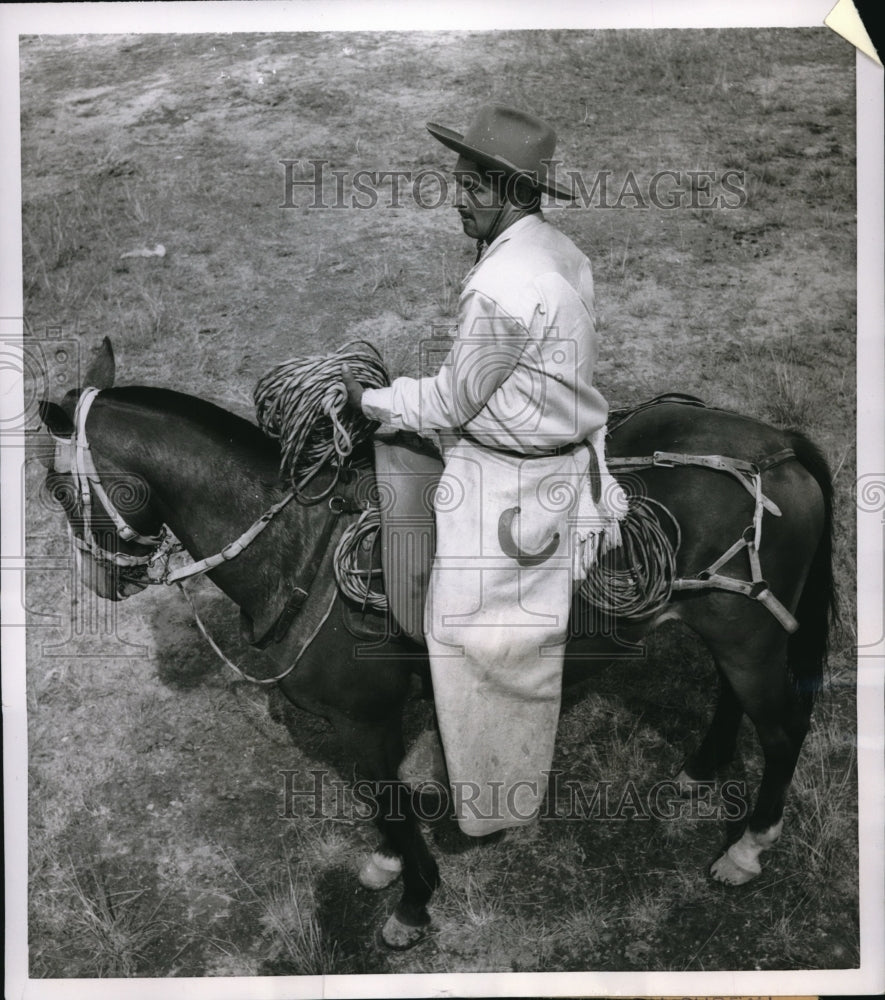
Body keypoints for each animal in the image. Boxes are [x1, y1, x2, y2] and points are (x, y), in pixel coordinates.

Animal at [36, 340, 836, 948]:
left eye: (52, 486)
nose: (99, 581)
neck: (302, 546)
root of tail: (774, 445)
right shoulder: (374, 722)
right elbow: (382, 799)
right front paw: (390, 866)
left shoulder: (364, 718)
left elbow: (389, 799)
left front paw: (412, 905)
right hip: (730, 630)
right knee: (734, 700)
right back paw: (701, 770)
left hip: (749, 637)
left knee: (782, 728)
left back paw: (746, 848)